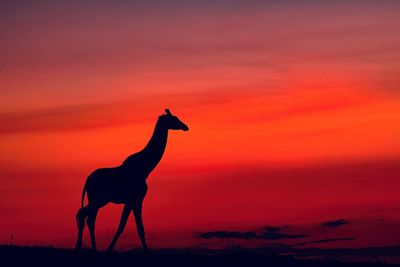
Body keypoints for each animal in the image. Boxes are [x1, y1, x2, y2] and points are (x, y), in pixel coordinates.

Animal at [76, 110, 190, 252]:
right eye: (173, 119)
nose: (186, 127)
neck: (146, 169)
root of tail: (87, 181)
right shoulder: (135, 199)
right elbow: (131, 227)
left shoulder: (133, 200)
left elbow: (131, 226)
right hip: (98, 200)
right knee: (87, 217)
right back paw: (89, 248)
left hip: (98, 200)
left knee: (85, 216)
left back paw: (83, 247)